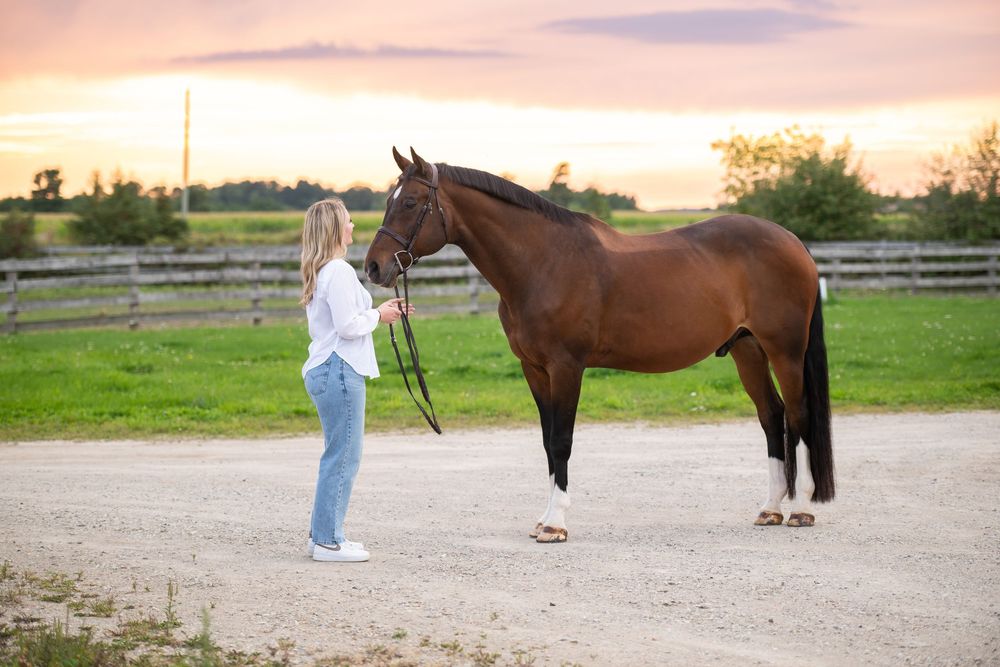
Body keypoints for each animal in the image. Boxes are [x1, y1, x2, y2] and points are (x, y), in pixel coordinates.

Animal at [365, 147, 834, 543]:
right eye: (389, 200)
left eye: (410, 203)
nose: (373, 267)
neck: (543, 262)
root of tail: (794, 242)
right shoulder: (534, 370)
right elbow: (546, 441)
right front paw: (543, 519)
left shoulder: (566, 367)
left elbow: (562, 440)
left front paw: (555, 525)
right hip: (746, 349)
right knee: (772, 416)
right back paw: (770, 509)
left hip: (785, 350)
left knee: (798, 414)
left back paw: (801, 510)